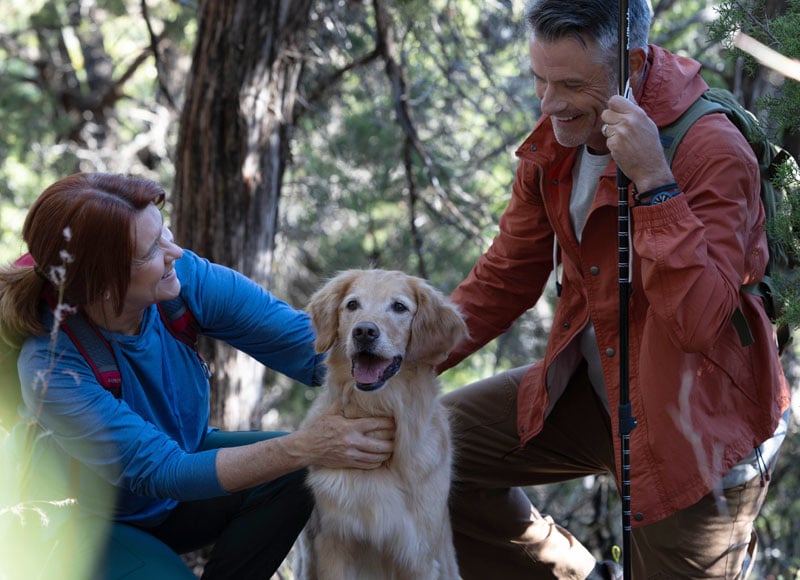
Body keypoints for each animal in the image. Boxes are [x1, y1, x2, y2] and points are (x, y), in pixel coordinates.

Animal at [296, 270, 468, 576]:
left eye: (399, 307)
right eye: (352, 305)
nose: (364, 332)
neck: (377, 408)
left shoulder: (418, 555)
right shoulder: (334, 543)